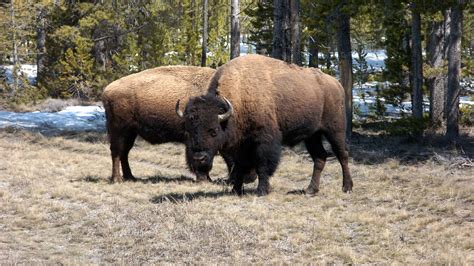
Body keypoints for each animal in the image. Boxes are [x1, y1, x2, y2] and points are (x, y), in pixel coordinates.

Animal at [177, 54, 352, 195]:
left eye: (213, 131)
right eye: (189, 131)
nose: (199, 158)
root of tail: (336, 84)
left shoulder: (264, 141)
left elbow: (263, 165)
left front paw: (261, 191)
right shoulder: (241, 145)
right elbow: (240, 166)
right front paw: (236, 190)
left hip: (335, 130)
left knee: (342, 155)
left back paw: (347, 187)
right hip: (312, 135)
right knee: (320, 157)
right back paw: (311, 190)